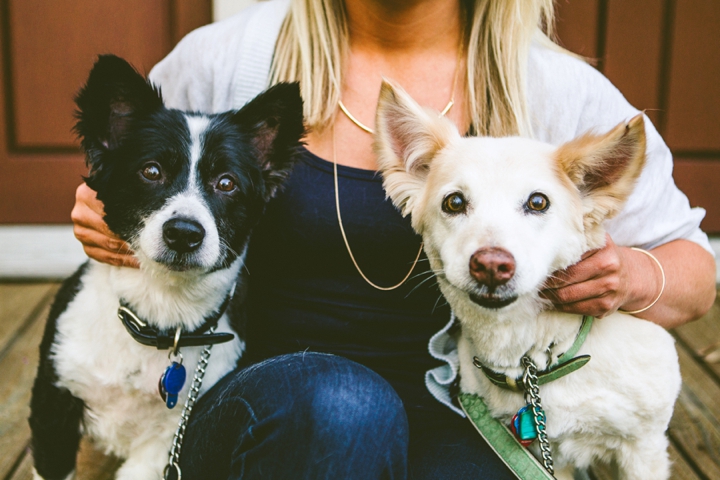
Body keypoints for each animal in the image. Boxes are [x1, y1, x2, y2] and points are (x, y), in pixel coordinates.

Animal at [27, 56, 304, 480]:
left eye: (227, 183)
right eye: (151, 171)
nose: (184, 233)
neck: (159, 313)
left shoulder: (168, 439)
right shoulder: (53, 406)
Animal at [374, 80, 684, 478]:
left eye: (538, 202)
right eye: (454, 203)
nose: (491, 265)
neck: (534, 361)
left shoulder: (643, 449)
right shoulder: (546, 458)